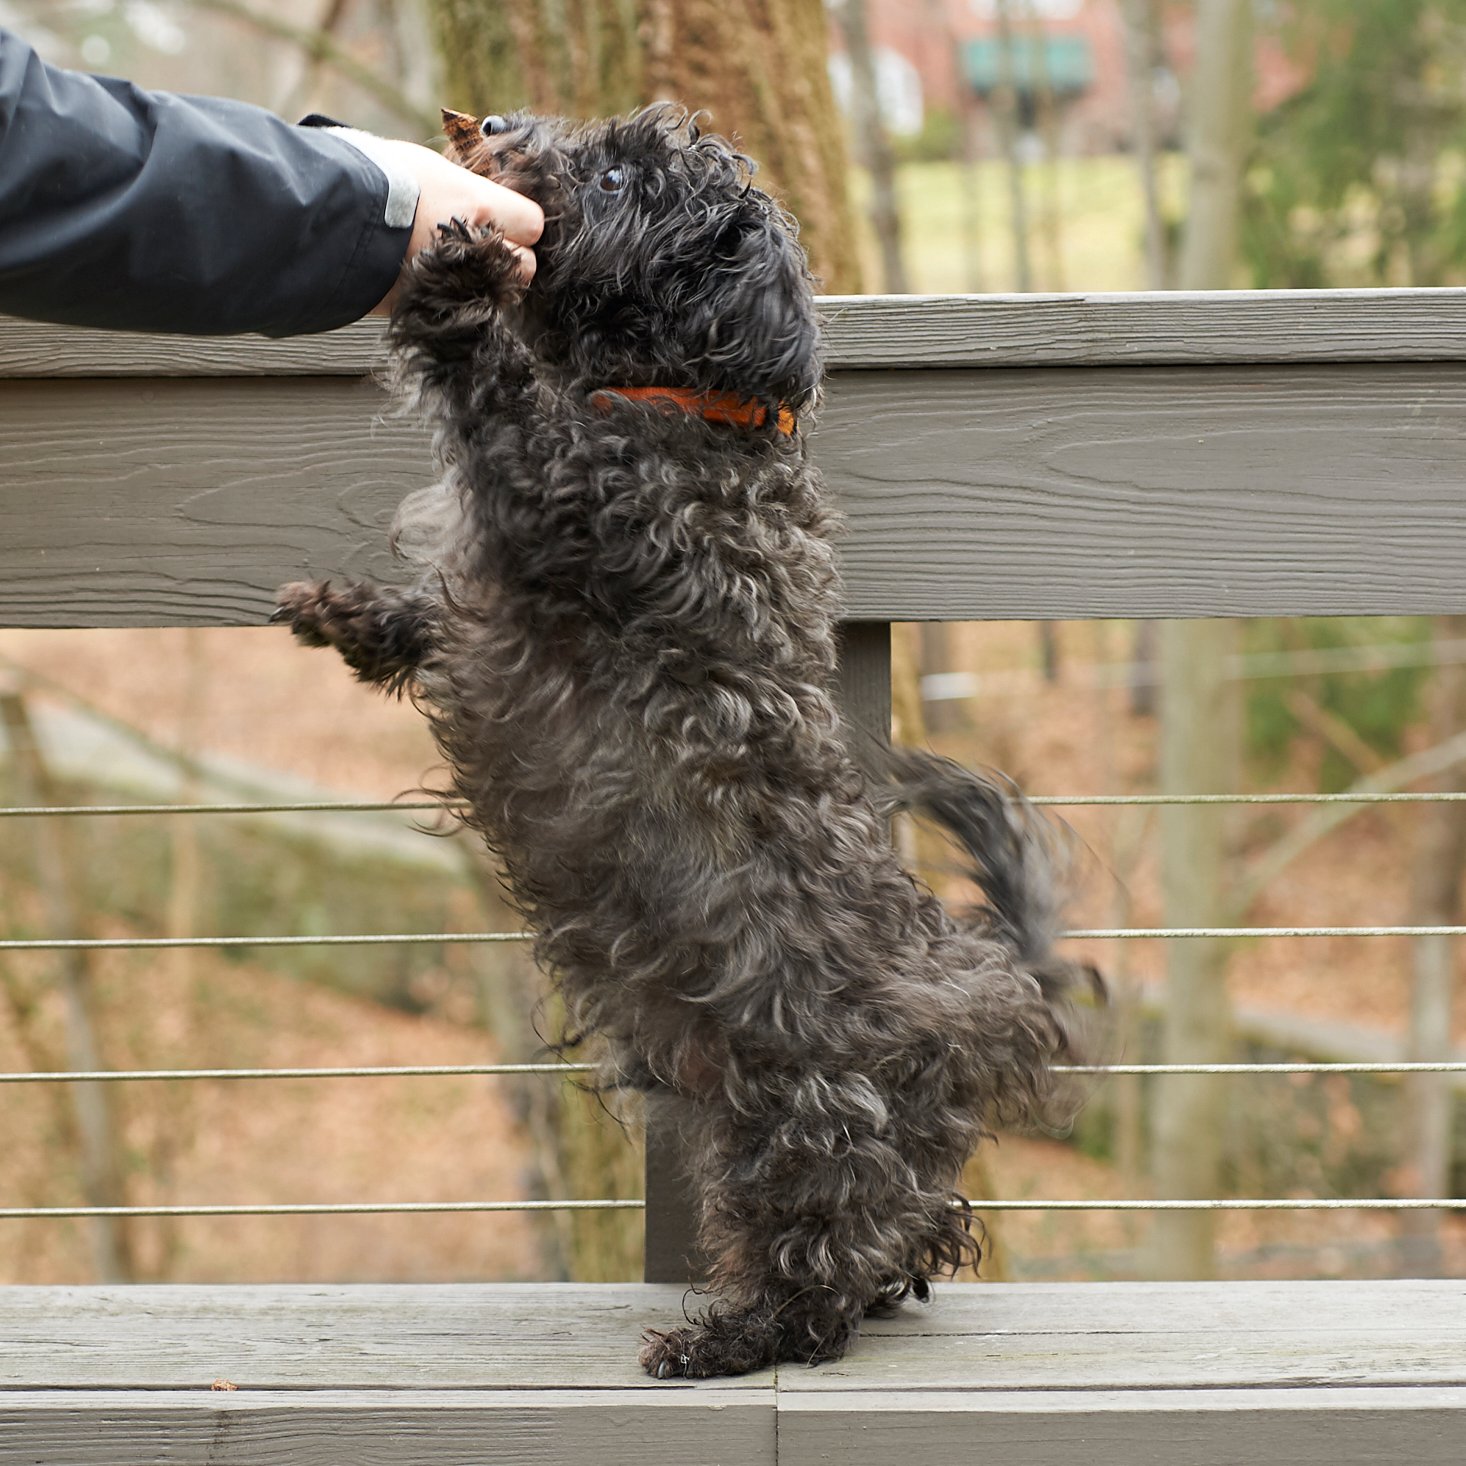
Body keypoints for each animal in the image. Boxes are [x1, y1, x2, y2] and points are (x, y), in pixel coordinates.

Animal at [275, 108, 1102, 1378]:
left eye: (622, 174)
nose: (493, 126)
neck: (680, 411)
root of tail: (987, 978)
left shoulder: (561, 492)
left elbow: (495, 387)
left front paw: (460, 274)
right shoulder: (493, 582)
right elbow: (432, 610)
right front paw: (345, 614)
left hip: (801, 1119)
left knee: (823, 1263)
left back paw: (730, 1334)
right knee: (908, 1227)